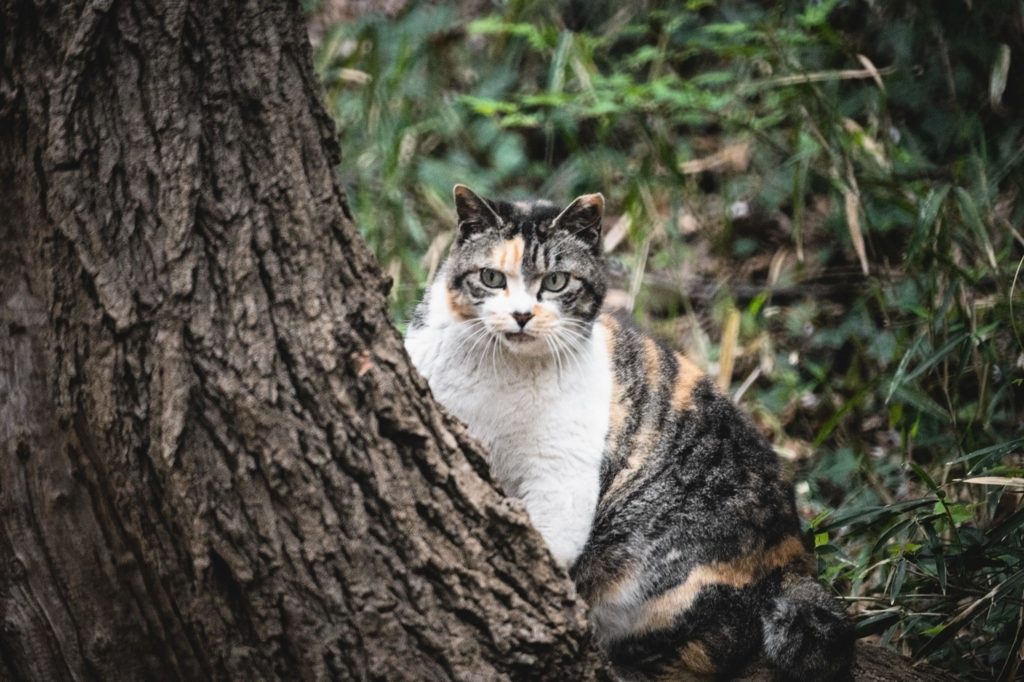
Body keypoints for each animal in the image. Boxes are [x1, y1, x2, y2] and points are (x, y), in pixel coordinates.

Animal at [403, 186, 851, 679]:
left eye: (556, 282)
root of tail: (793, 552)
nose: (521, 315)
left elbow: (544, 544)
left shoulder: (561, 478)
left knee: (716, 644)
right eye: (490, 277)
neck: (498, 374)